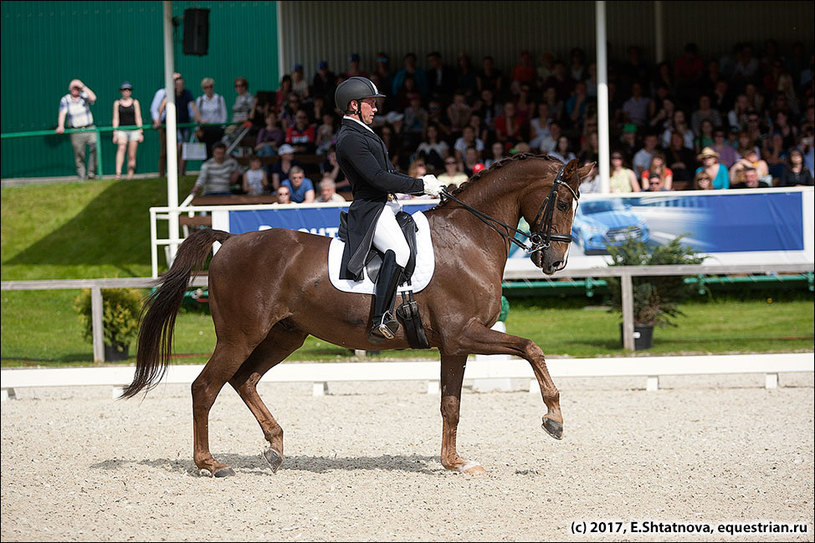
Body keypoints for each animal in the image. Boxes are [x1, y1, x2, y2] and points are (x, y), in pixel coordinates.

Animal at [122, 153, 592, 476]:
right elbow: (531, 348)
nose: (555, 262)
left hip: (284, 335)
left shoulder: (454, 346)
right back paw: (210, 464)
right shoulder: (464, 334)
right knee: (205, 387)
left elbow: (451, 405)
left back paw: (274, 447)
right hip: (240, 336)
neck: (468, 237)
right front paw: (554, 419)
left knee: (244, 380)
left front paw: (455, 462)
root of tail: (228, 240)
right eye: (563, 204)